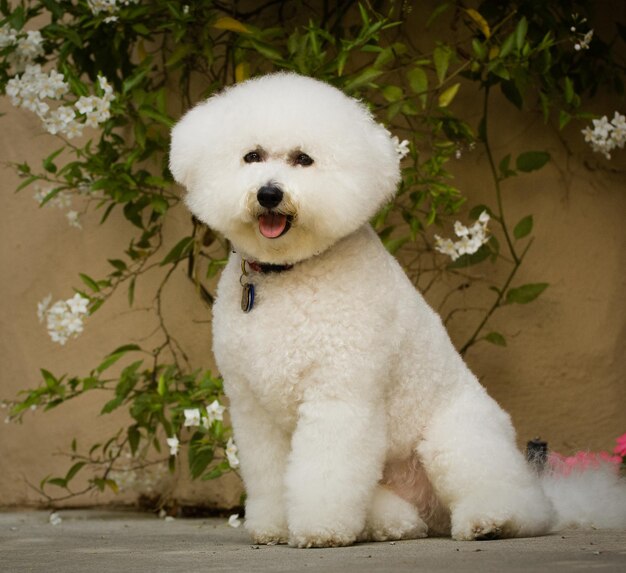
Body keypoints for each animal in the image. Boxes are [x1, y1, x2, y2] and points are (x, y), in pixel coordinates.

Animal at [167, 73, 556, 548]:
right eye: (251, 156)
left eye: (304, 159)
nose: (269, 193)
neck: (290, 274)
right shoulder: (254, 409)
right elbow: (270, 474)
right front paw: (274, 526)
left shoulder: (339, 395)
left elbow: (326, 472)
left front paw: (320, 529)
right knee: (407, 516)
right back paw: (395, 523)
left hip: (455, 441)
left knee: (517, 501)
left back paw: (489, 521)